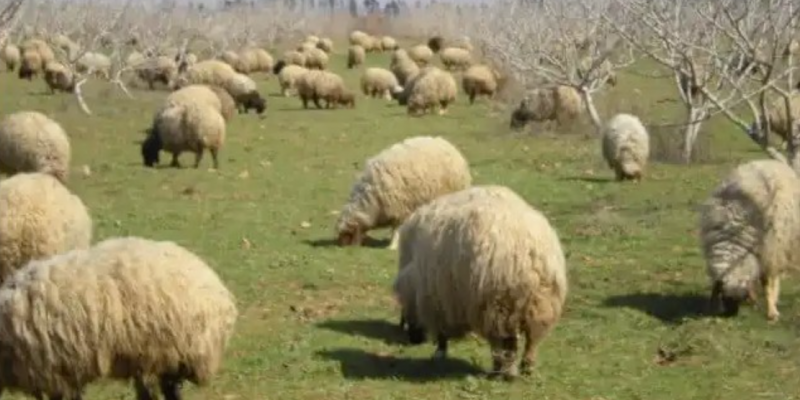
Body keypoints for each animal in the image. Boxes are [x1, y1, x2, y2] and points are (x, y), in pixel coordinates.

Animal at [335, 136, 472, 250]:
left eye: (348, 234)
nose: (342, 248)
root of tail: (448, 144)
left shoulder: (400, 208)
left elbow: (397, 229)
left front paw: (392, 245)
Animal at [393, 184, 567, 379]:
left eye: (403, 305)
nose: (413, 339)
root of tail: (528, 251)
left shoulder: (439, 298)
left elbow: (442, 333)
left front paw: (439, 353)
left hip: (496, 304)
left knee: (503, 342)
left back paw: (502, 370)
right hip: (540, 303)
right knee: (532, 339)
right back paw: (526, 367)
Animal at [699, 159, 800, 321]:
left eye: (736, 299)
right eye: (724, 297)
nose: (729, 315)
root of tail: (769, 161)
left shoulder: (767, 251)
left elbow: (767, 283)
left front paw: (772, 312)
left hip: (778, 245)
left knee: (774, 274)